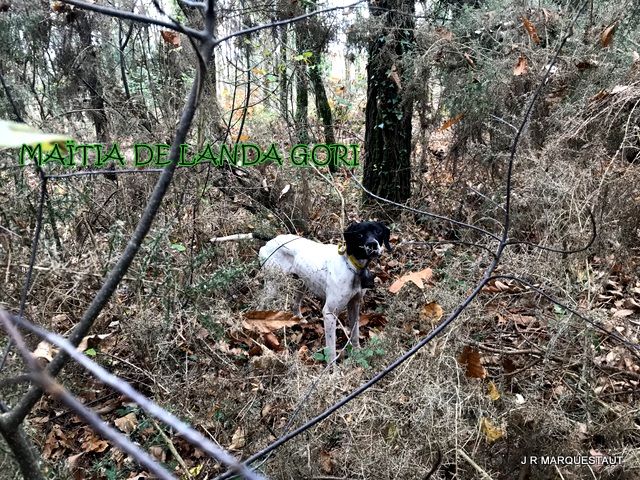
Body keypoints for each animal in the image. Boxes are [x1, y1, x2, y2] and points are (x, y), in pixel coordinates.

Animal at [258, 221, 390, 364]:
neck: (351, 266)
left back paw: (300, 319)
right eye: (359, 234)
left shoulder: (355, 304)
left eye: (378, 231)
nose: (372, 244)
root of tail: (271, 240)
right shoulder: (329, 313)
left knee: (295, 304)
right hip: (272, 287)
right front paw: (332, 368)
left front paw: (357, 352)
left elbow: (355, 333)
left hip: (302, 284)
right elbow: (331, 349)